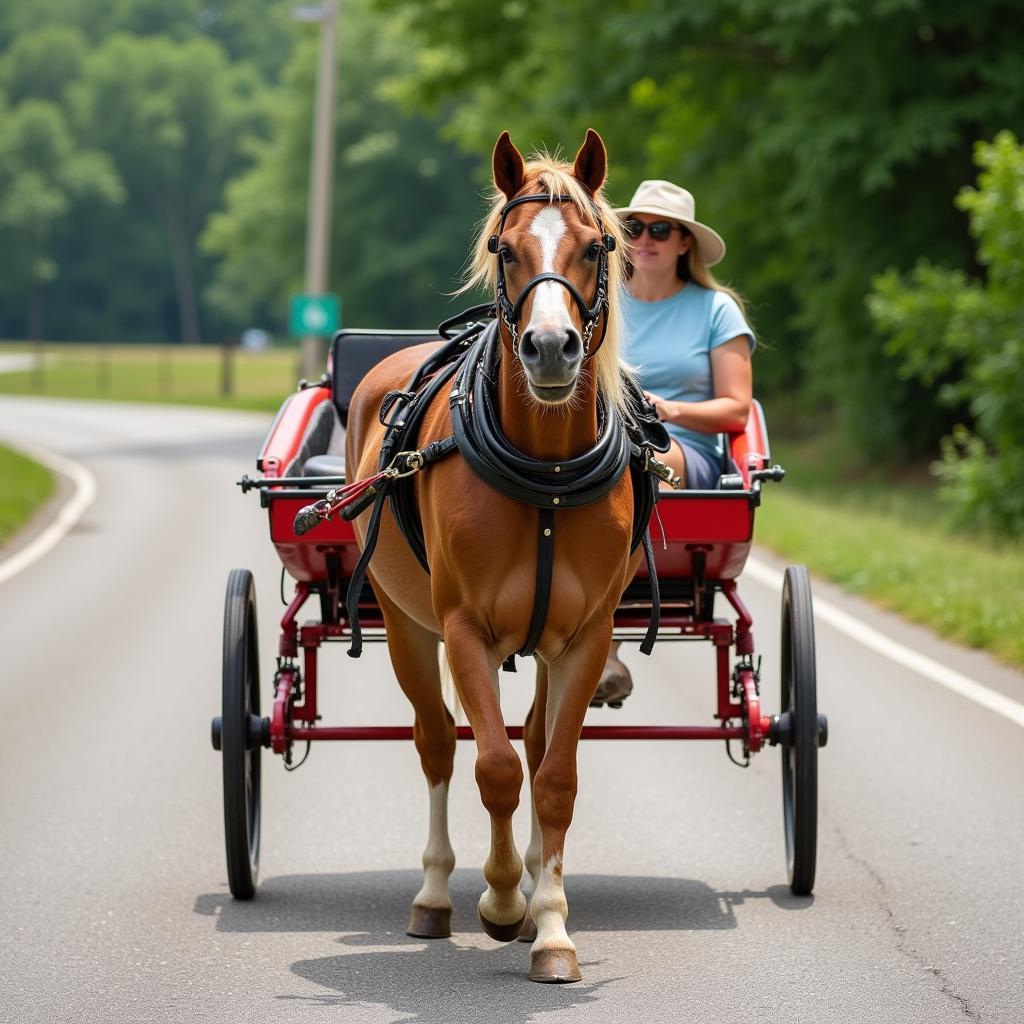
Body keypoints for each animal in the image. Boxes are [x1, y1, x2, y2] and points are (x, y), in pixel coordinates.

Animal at [348, 130, 643, 983]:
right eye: (504, 250)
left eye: (598, 246)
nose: (549, 349)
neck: (545, 471)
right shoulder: (465, 630)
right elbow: (495, 769)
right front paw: (506, 900)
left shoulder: (585, 637)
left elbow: (554, 777)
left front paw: (552, 924)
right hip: (409, 628)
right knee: (439, 745)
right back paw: (437, 895)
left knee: (536, 743)